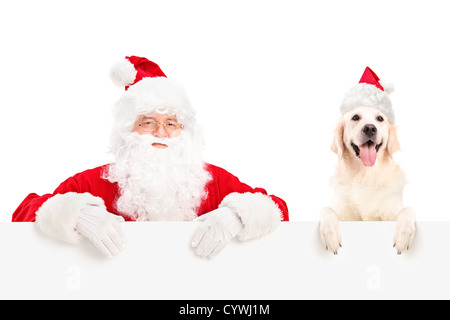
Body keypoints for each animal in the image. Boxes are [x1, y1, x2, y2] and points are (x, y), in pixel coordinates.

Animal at [318, 101, 416, 254]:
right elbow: (326, 209)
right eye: (355, 117)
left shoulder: (391, 212)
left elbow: (408, 210)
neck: (365, 175)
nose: (370, 128)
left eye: (380, 118)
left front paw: (404, 234)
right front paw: (330, 234)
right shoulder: (343, 213)